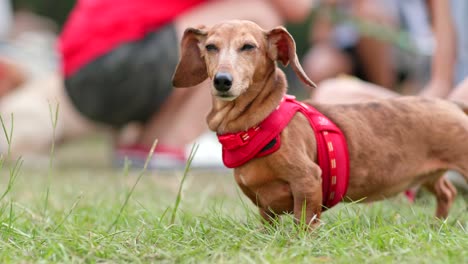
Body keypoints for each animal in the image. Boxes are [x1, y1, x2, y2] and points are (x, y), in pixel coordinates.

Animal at [173, 20, 468, 227]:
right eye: (211, 47)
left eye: (248, 47)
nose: (222, 81)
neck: (255, 126)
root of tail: (452, 104)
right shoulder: (265, 207)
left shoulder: (308, 181)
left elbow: (304, 225)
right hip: (430, 175)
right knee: (447, 192)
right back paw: (437, 226)